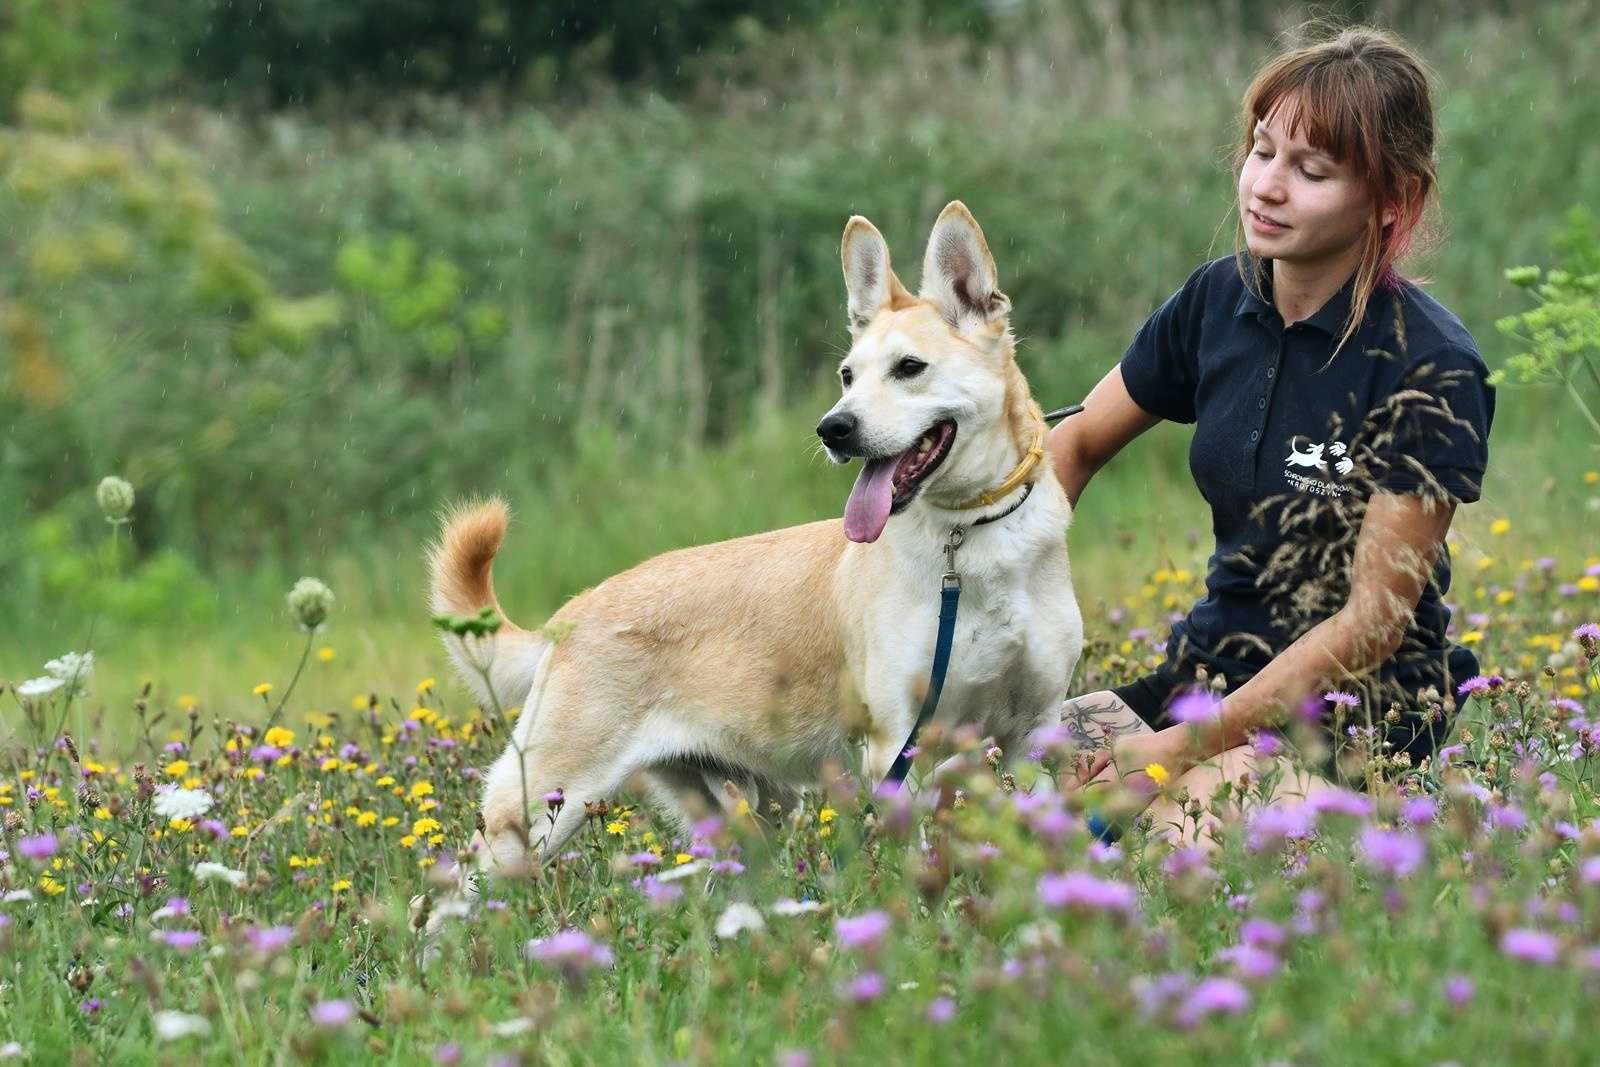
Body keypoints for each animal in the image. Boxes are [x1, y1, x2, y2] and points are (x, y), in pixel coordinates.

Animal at [425, 199, 1081, 876]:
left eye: (909, 368)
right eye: (847, 375)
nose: (833, 428)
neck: (969, 540)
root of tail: (569, 616)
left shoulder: (1033, 733)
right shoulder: (899, 743)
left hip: (741, 815)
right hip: (533, 814)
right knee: (451, 889)